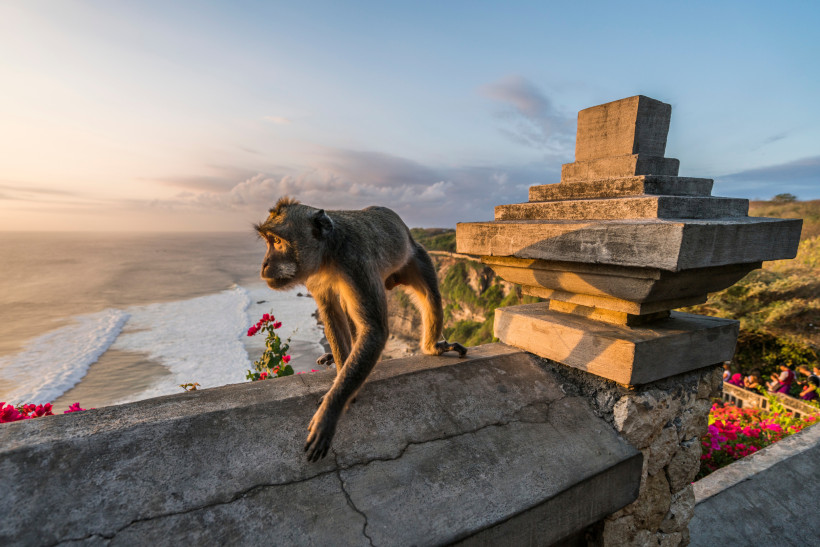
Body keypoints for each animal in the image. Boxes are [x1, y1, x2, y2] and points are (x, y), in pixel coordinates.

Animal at [256, 197, 467, 462]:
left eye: (277, 241)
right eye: (268, 241)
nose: (264, 263)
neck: (328, 255)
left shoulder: (355, 264)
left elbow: (374, 331)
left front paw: (331, 411)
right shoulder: (316, 277)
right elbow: (332, 313)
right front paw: (343, 381)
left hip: (417, 257)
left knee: (431, 296)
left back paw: (432, 347)